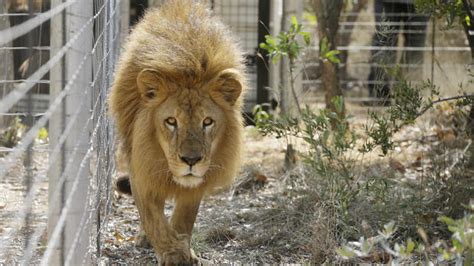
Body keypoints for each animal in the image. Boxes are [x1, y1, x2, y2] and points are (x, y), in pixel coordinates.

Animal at [109, 1, 246, 264]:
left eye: (207, 122)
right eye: (171, 121)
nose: (191, 160)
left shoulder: (197, 183)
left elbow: (185, 216)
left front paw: (184, 249)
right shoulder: (142, 167)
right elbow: (153, 218)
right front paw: (172, 253)